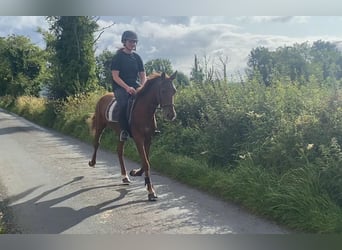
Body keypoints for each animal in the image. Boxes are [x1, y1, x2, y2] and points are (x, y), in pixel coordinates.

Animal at [88, 72, 178, 201]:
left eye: (174, 91)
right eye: (163, 90)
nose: (171, 115)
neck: (144, 110)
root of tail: (103, 97)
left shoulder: (148, 139)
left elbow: (146, 161)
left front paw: (136, 173)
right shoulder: (138, 138)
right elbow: (146, 162)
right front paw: (150, 191)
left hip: (120, 133)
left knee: (119, 151)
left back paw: (125, 176)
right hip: (100, 125)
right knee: (97, 142)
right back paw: (92, 162)